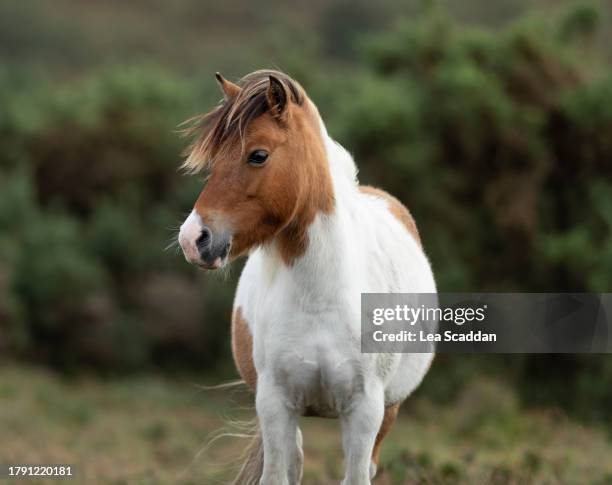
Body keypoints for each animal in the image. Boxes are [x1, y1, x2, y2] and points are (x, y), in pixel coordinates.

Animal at [177, 69, 436, 484]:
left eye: (258, 155)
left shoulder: (365, 413)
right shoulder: (275, 405)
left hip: (389, 411)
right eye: (215, 159)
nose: (192, 239)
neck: (321, 298)